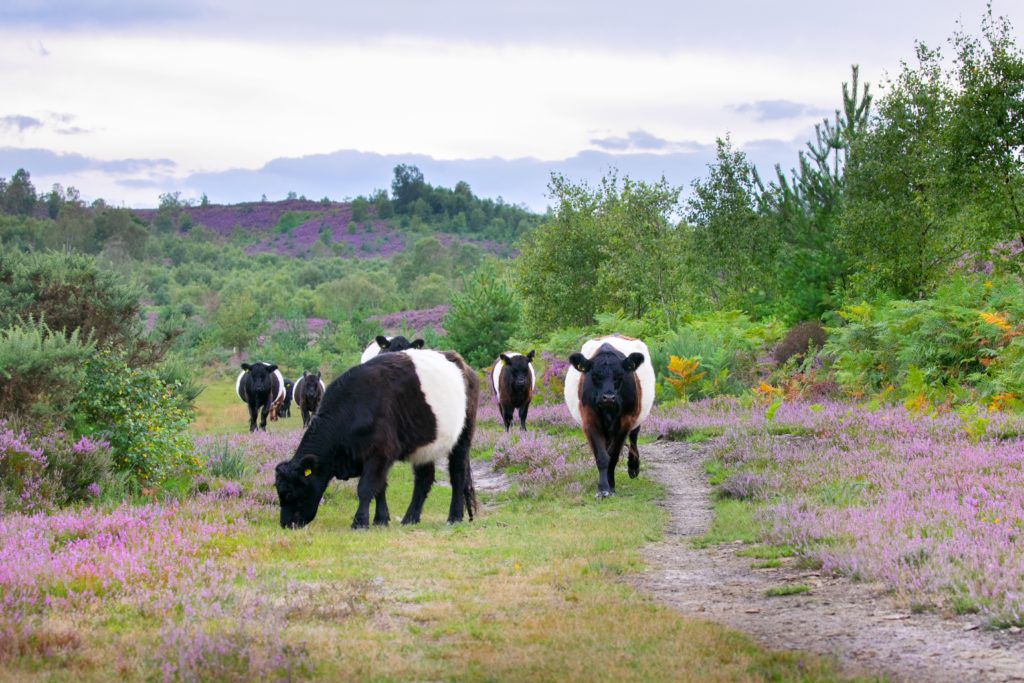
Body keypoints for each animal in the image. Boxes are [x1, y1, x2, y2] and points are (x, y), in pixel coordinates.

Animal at [272, 350, 479, 532]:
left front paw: (360, 522)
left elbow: (365, 488)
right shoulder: (379, 458)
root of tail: (460, 362)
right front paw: (381, 519)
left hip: (462, 437)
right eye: (279, 491)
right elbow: (380, 487)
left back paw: (454, 517)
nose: (285, 523)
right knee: (424, 479)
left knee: (458, 475)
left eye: (289, 492)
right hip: (425, 446)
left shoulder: (379, 453)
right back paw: (410, 518)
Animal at [561, 335, 655, 497]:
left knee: (634, 438)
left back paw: (633, 468)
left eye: (620, 375)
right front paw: (603, 488)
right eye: (594, 376)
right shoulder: (589, 420)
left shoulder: (625, 421)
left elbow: (614, 455)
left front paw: (610, 486)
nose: (608, 397)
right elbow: (602, 456)